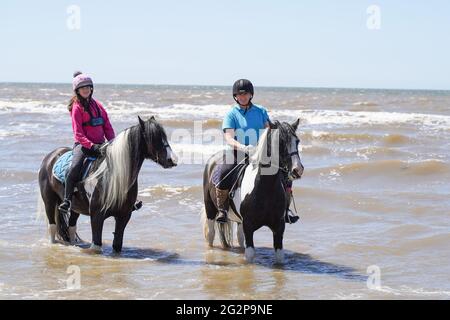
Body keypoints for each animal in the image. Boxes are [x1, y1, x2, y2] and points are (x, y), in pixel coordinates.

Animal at [38, 116, 178, 254]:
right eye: (154, 138)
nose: (172, 160)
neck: (113, 177)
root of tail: (51, 156)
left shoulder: (124, 216)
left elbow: (117, 245)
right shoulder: (97, 216)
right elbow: (96, 245)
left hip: (75, 207)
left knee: (71, 227)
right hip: (49, 202)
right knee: (52, 226)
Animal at [203, 119, 302, 264]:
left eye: (297, 141)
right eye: (281, 141)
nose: (297, 169)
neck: (265, 189)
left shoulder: (279, 228)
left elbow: (279, 257)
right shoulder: (248, 226)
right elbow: (250, 255)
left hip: (238, 221)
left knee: (239, 238)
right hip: (210, 210)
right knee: (210, 235)